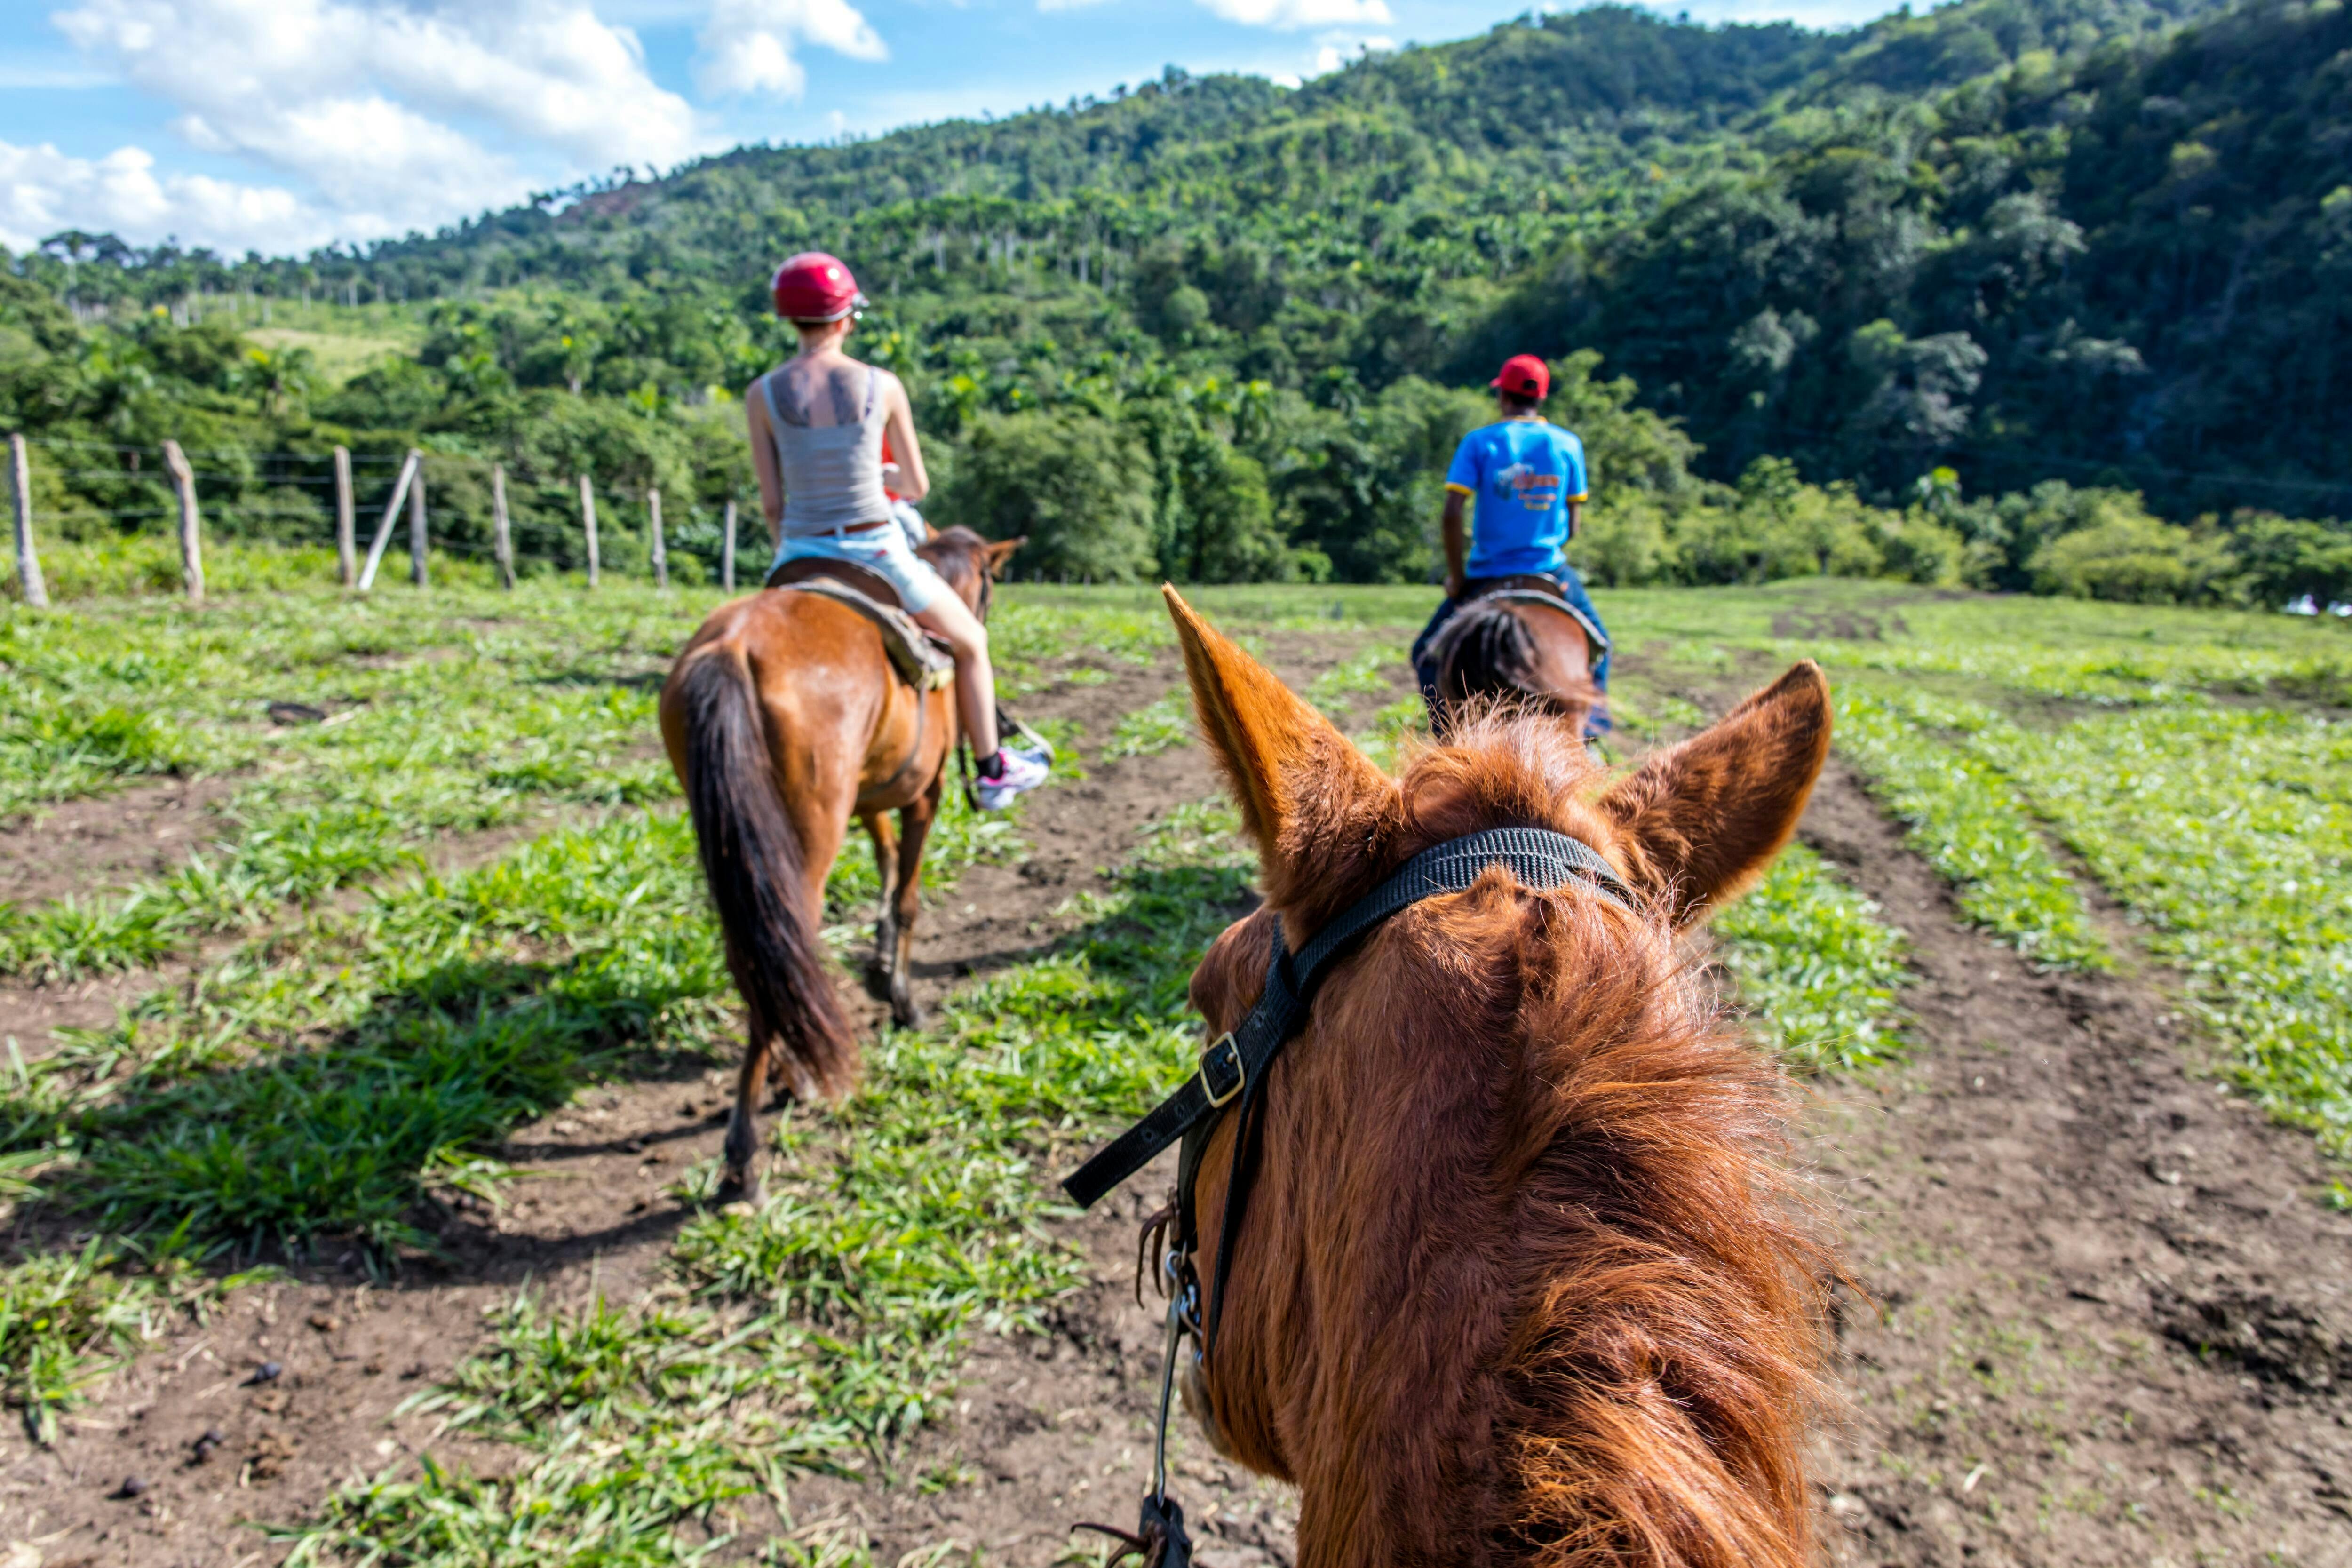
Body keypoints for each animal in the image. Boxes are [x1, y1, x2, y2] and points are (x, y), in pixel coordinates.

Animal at [663, 524, 1030, 1189]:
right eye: (990, 584)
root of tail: (734, 646)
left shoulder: (872, 794)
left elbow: (884, 862)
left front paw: (880, 957)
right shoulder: (925, 794)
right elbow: (907, 895)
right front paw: (903, 999)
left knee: (757, 955)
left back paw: (789, 1074)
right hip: (807, 834)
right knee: (786, 943)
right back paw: (746, 1144)